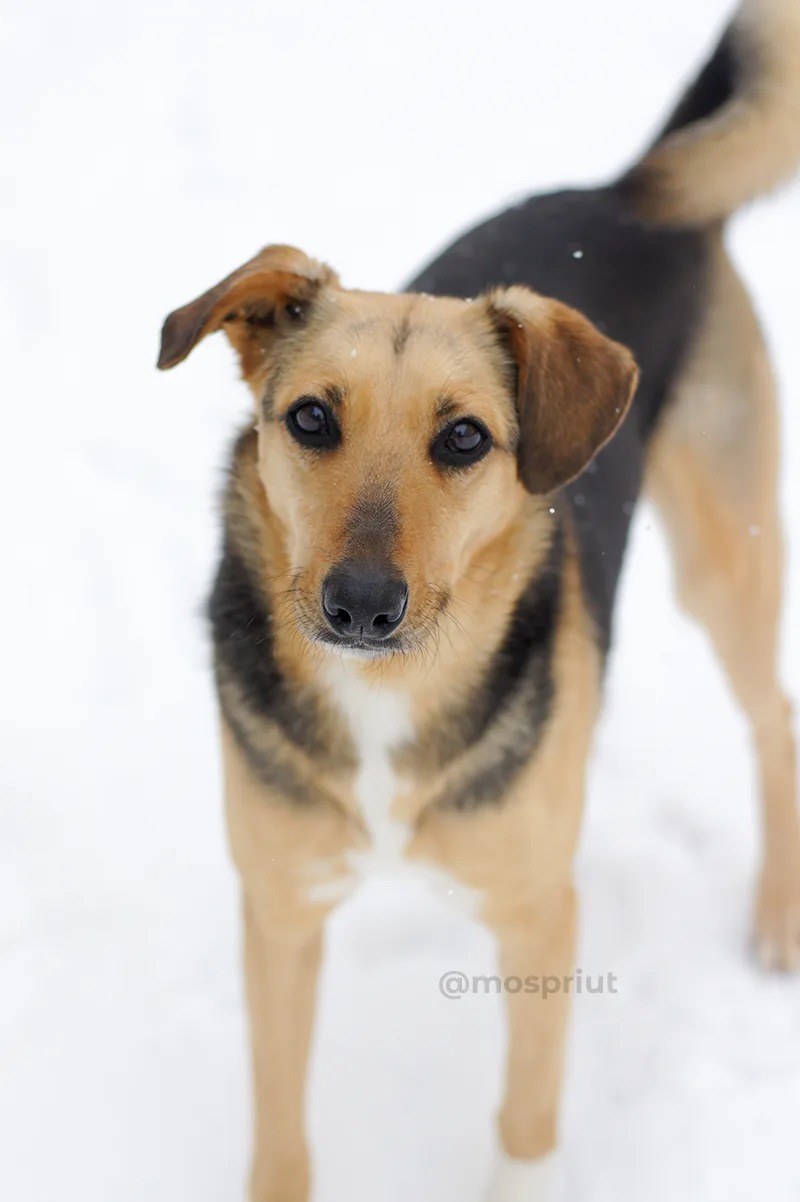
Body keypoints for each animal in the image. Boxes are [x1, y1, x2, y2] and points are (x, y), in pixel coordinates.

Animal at [156, 4, 797, 1197]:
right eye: (309, 418)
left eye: (464, 438)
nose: (361, 606)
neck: (385, 698)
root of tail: (626, 195)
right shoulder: (279, 910)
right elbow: (280, 1132)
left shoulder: (541, 921)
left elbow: (524, 1125)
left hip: (722, 563)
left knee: (772, 715)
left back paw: (776, 916)